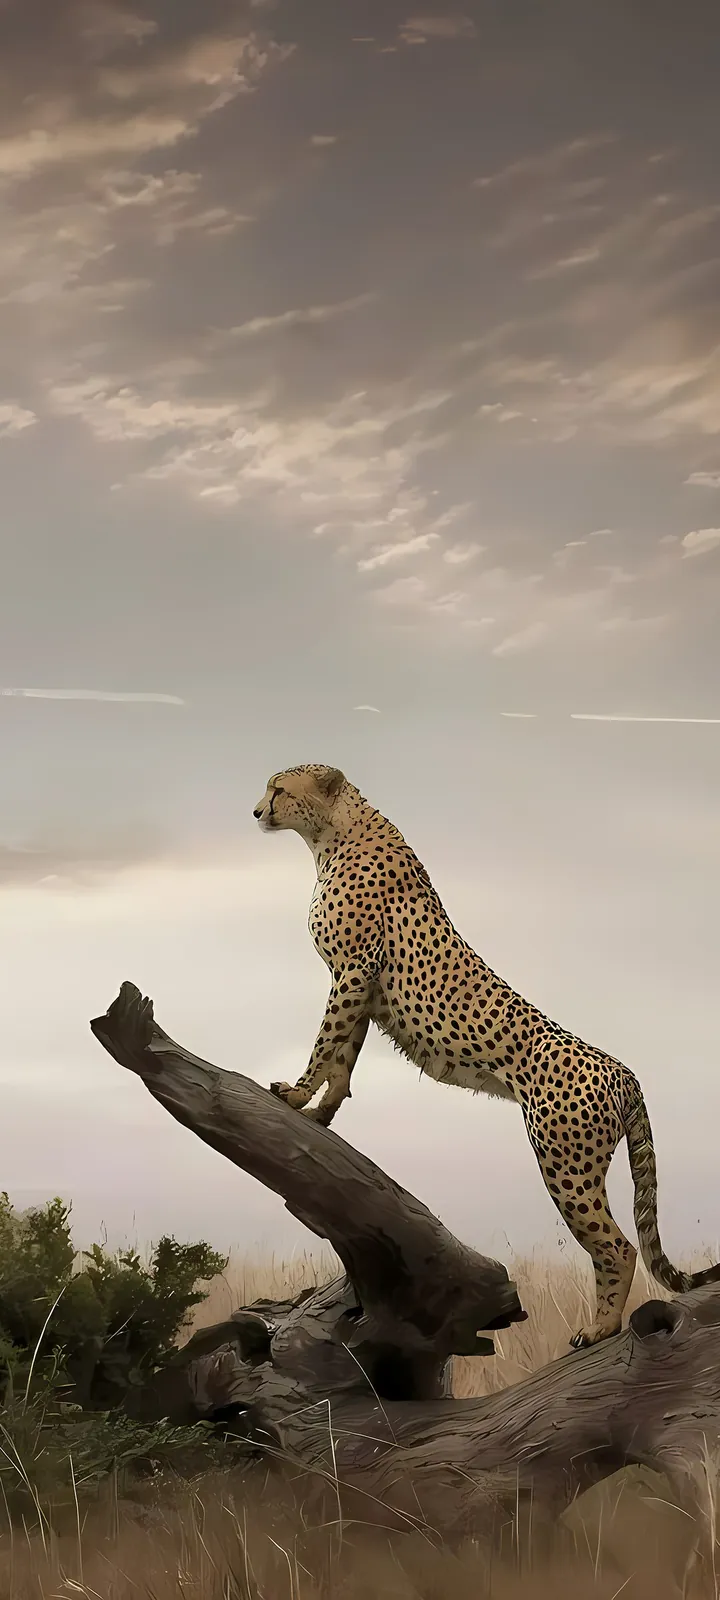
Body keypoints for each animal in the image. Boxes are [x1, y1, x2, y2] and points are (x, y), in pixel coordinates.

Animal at [253, 762, 720, 1347]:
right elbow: (343, 1059)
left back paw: (602, 1327)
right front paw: (320, 1113)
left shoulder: (353, 971)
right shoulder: (363, 984)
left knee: (618, 1245)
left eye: (279, 788)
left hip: (564, 1163)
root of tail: (623, 1070)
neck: (332, 834)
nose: (256, 811)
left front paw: (294, 1096)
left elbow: (324, 1043)